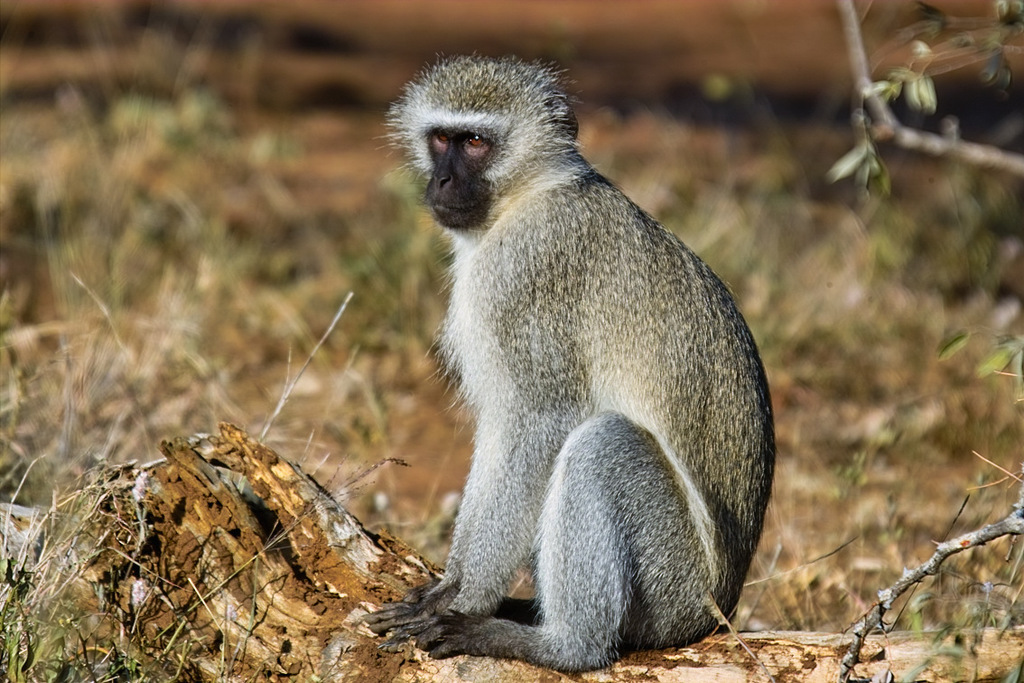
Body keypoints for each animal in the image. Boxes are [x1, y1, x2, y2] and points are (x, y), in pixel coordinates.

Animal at [364, 54, 770, 671]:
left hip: (674, 585)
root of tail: (718, 610)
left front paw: (464, 596)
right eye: (440, 139)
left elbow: (540, 423)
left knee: (600, 445)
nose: (442, 182)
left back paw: (560, 645)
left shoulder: (524, 272)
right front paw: (452, 584)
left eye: (476, 143)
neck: (530, 195)